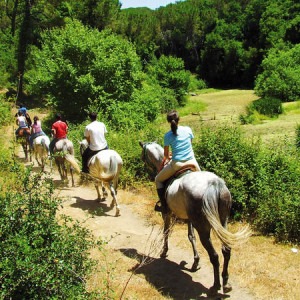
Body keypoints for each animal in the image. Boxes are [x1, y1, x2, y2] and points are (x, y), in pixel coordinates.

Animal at [139, 141, 251, 296]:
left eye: (143, 156)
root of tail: (214, 184)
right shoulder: (190, 219)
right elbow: (191, 236)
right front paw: (195, 262)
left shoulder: (167, 214)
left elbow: (166, 232)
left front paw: (164, 251)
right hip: (223, 222)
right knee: (226, 250)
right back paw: (226, 283)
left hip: (203, 227)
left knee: (214, 256)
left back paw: (215, 286)